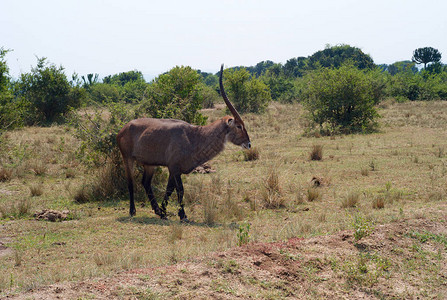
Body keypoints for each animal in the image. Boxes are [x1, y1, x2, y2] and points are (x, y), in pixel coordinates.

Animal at [116, 65, 252, 220]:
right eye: (239, 126)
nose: (249, 144)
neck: (194, 136)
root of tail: (123, 129)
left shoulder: (174, 169)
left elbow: (169, 190)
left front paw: (164, 212)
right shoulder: (174, 168)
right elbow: (180, 190)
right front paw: (183, 215)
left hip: (149, 164)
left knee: (145, 183)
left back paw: (157, 211)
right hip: (127, 158)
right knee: (131, 182)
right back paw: (132, 211)